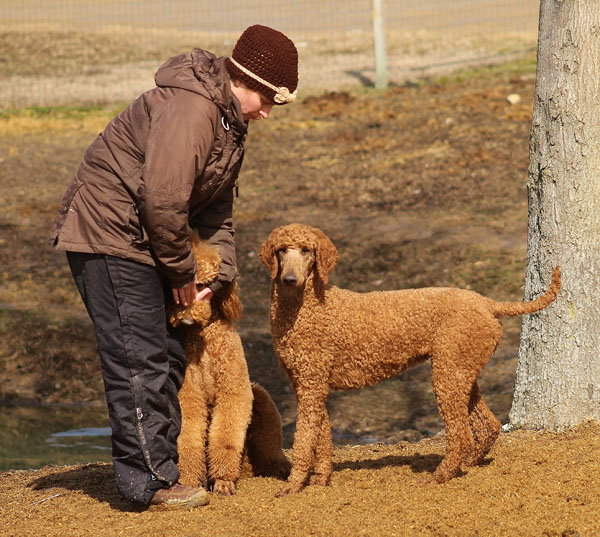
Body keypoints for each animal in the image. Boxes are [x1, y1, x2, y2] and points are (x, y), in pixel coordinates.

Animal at [259, 223, 561, 495]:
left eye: (307, 250)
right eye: (281, 250)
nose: (289, 279)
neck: (305, 309)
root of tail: (487, 303)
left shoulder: (312, 384)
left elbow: (303, 440)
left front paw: (294, 485)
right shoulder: (308, 383)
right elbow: (321, 437)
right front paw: (321, 480)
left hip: (448, 374)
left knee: (461, 435)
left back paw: (441, 475)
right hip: (460, 369)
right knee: (488, 426)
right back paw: (467, 463)